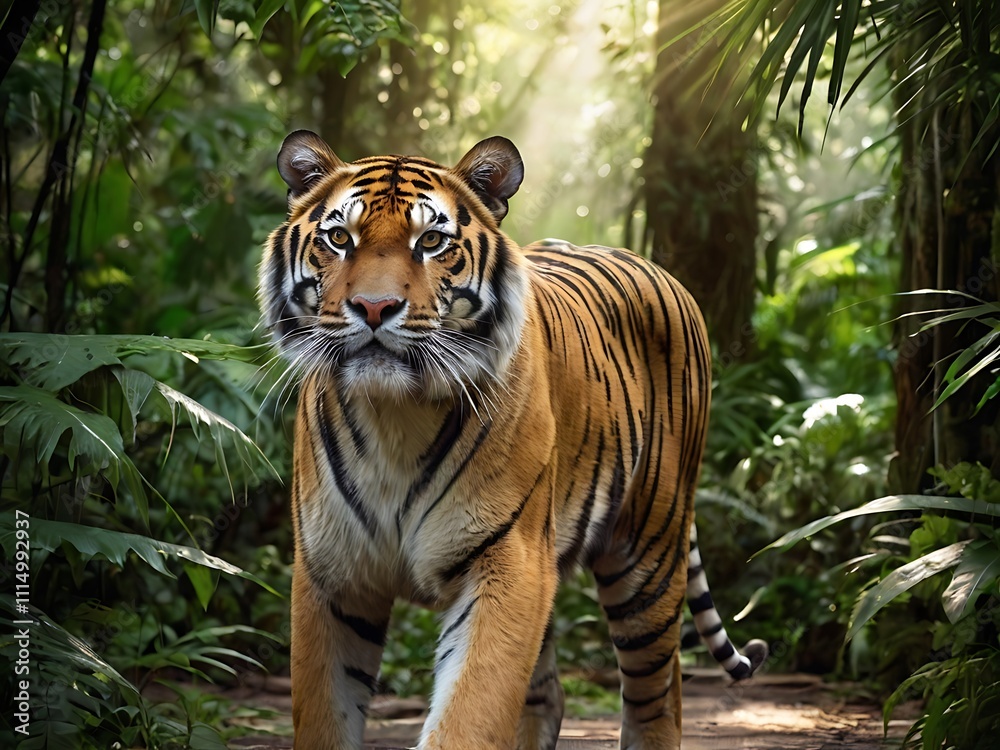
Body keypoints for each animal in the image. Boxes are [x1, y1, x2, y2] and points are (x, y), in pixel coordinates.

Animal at [258, 130, 767, 750]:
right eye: (338, 238)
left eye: (431, 241)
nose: (375, 308)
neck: (394, 415)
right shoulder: (331, 577)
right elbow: (325, 716)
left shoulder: (507, 561)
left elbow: (471, 714)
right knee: (549, 693)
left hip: (648, 551)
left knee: (658, 695)